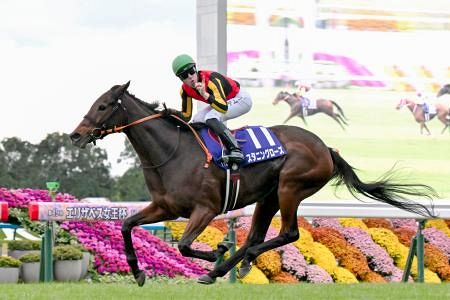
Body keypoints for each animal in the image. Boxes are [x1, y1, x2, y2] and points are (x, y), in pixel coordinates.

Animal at [69, 82, 436, 286]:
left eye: (103, 105)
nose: (75, 135)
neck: (173, 152)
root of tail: (326, 148)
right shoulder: (165, 207)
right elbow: (127, 225)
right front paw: (138, 273)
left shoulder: (206, 208)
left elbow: (184, 245)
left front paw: (216, 250)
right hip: (268, 196)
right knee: (255, 237)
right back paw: (225, 268)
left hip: (290, 187)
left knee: (287, 234)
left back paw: (229, 263)